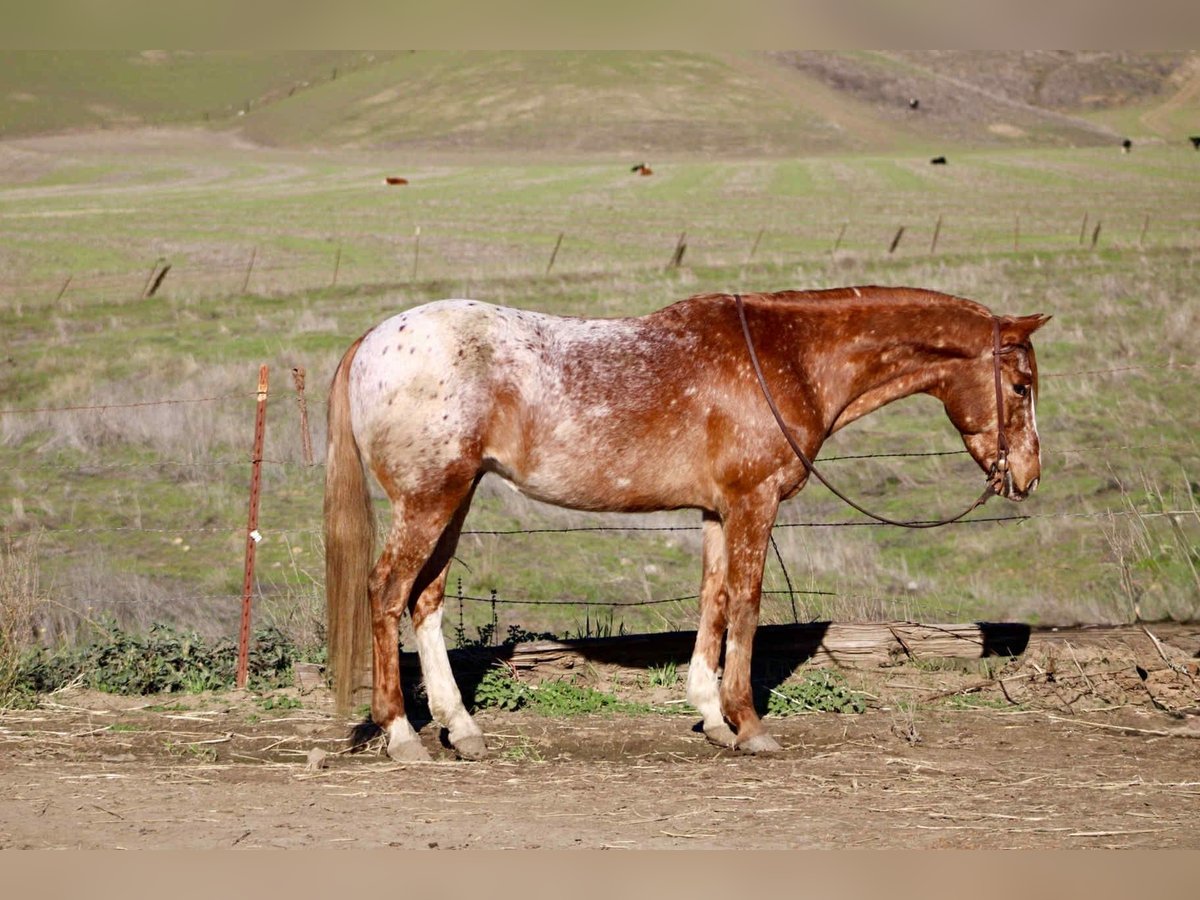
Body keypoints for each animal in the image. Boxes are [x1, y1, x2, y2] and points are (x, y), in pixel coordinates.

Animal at [325, 287, 1049, 760]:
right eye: (1021, 387)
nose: (1028, 474)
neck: (788, 357)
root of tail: (370, 343)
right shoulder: (754, 503)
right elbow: (748, 603)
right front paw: (750, 725)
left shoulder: (716, 512)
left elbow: (714, 601)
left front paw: (712, 714)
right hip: (430, 500)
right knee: (387, 592)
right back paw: (400, 734)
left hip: (455, 498)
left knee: (425, 602)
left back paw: (461, 729)